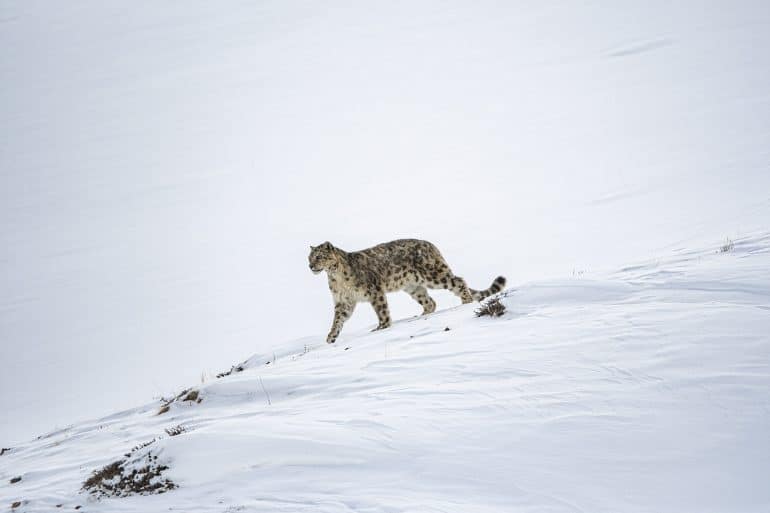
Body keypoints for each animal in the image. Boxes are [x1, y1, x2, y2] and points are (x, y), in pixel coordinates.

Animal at [308, 239, 506, 343]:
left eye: (319, 256)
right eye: (309, 257)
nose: (310, 266)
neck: (336, 278)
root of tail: (431, 245)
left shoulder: (374, 291)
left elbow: (382, 311)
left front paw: (382, 327)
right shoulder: (344, 301)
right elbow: (338, 319)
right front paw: (331, 337)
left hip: (434, 275)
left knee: (458, 280)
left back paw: (465, 301)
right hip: (414, 287)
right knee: (430, 302)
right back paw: (422, 315)